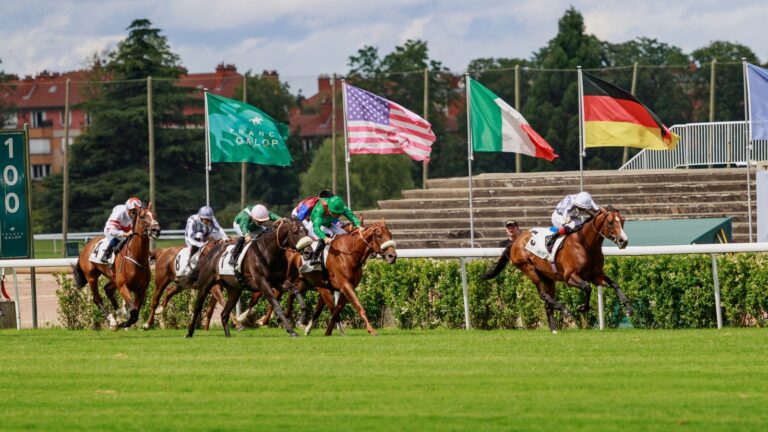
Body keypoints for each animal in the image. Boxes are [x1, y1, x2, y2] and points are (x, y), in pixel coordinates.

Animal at [484, 205, 632, 330]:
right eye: (610, 222)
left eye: (622, 221)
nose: (623, 241)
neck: (585, 244)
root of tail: (515, 241)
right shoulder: (570, 277)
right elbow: (587, 287)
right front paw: (582, 308)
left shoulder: (596, 275)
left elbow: (614, 284)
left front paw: (628, 307)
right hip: (528, 268)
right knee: (543, 295)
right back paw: (564, 310)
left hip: (547, 278)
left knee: (547, 303)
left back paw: (554, 330)